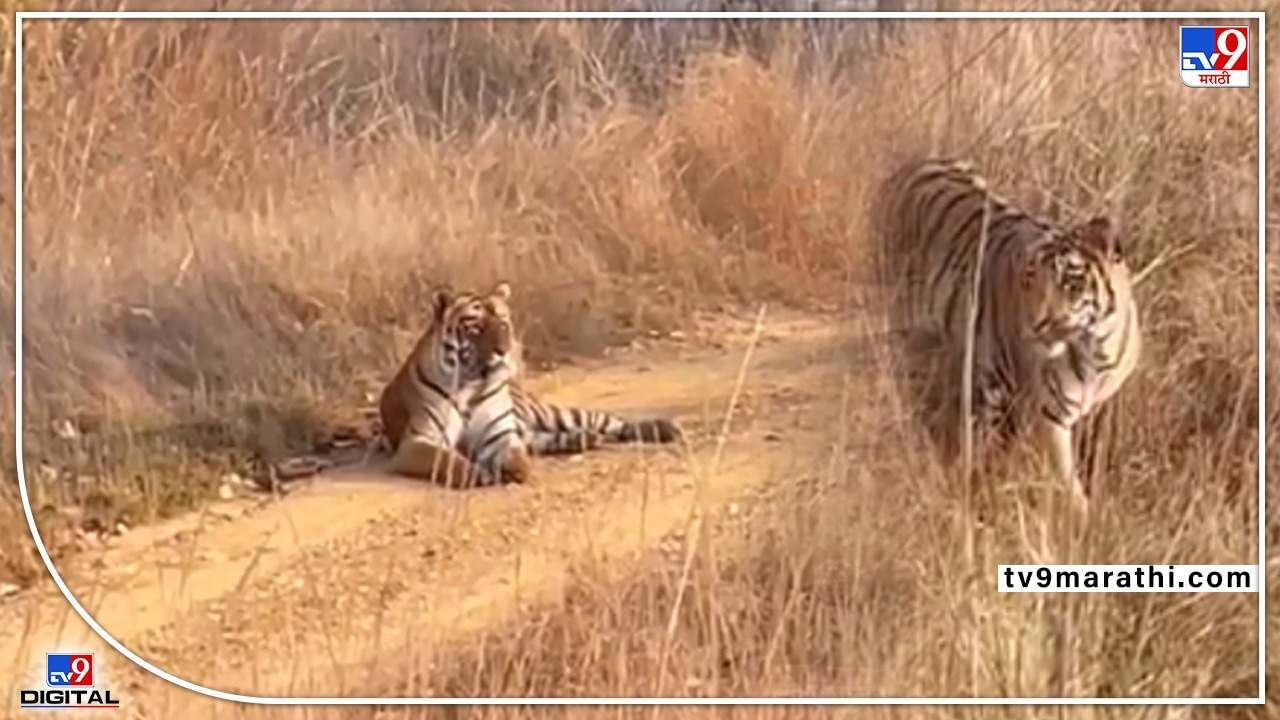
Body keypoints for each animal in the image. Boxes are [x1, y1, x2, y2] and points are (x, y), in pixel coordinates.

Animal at [376, 278, 686, 484]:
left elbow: (515, 454)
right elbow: (448, 461)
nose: (504, 351)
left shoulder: (501, 434)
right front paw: (477, 474)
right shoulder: (418, 441)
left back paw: (664, 428)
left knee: (610, 421)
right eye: (476, 328)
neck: (470, 385)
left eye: (503, 324)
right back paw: (584, 439)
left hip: (553, 413)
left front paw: (515, 468)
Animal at [880, 156, 1141, 504]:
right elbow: (1069, 487)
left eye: (1071, 283)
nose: (1034, 325)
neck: (1097, 348)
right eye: (1029, 279)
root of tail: (906, 166)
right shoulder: (1046, 416)